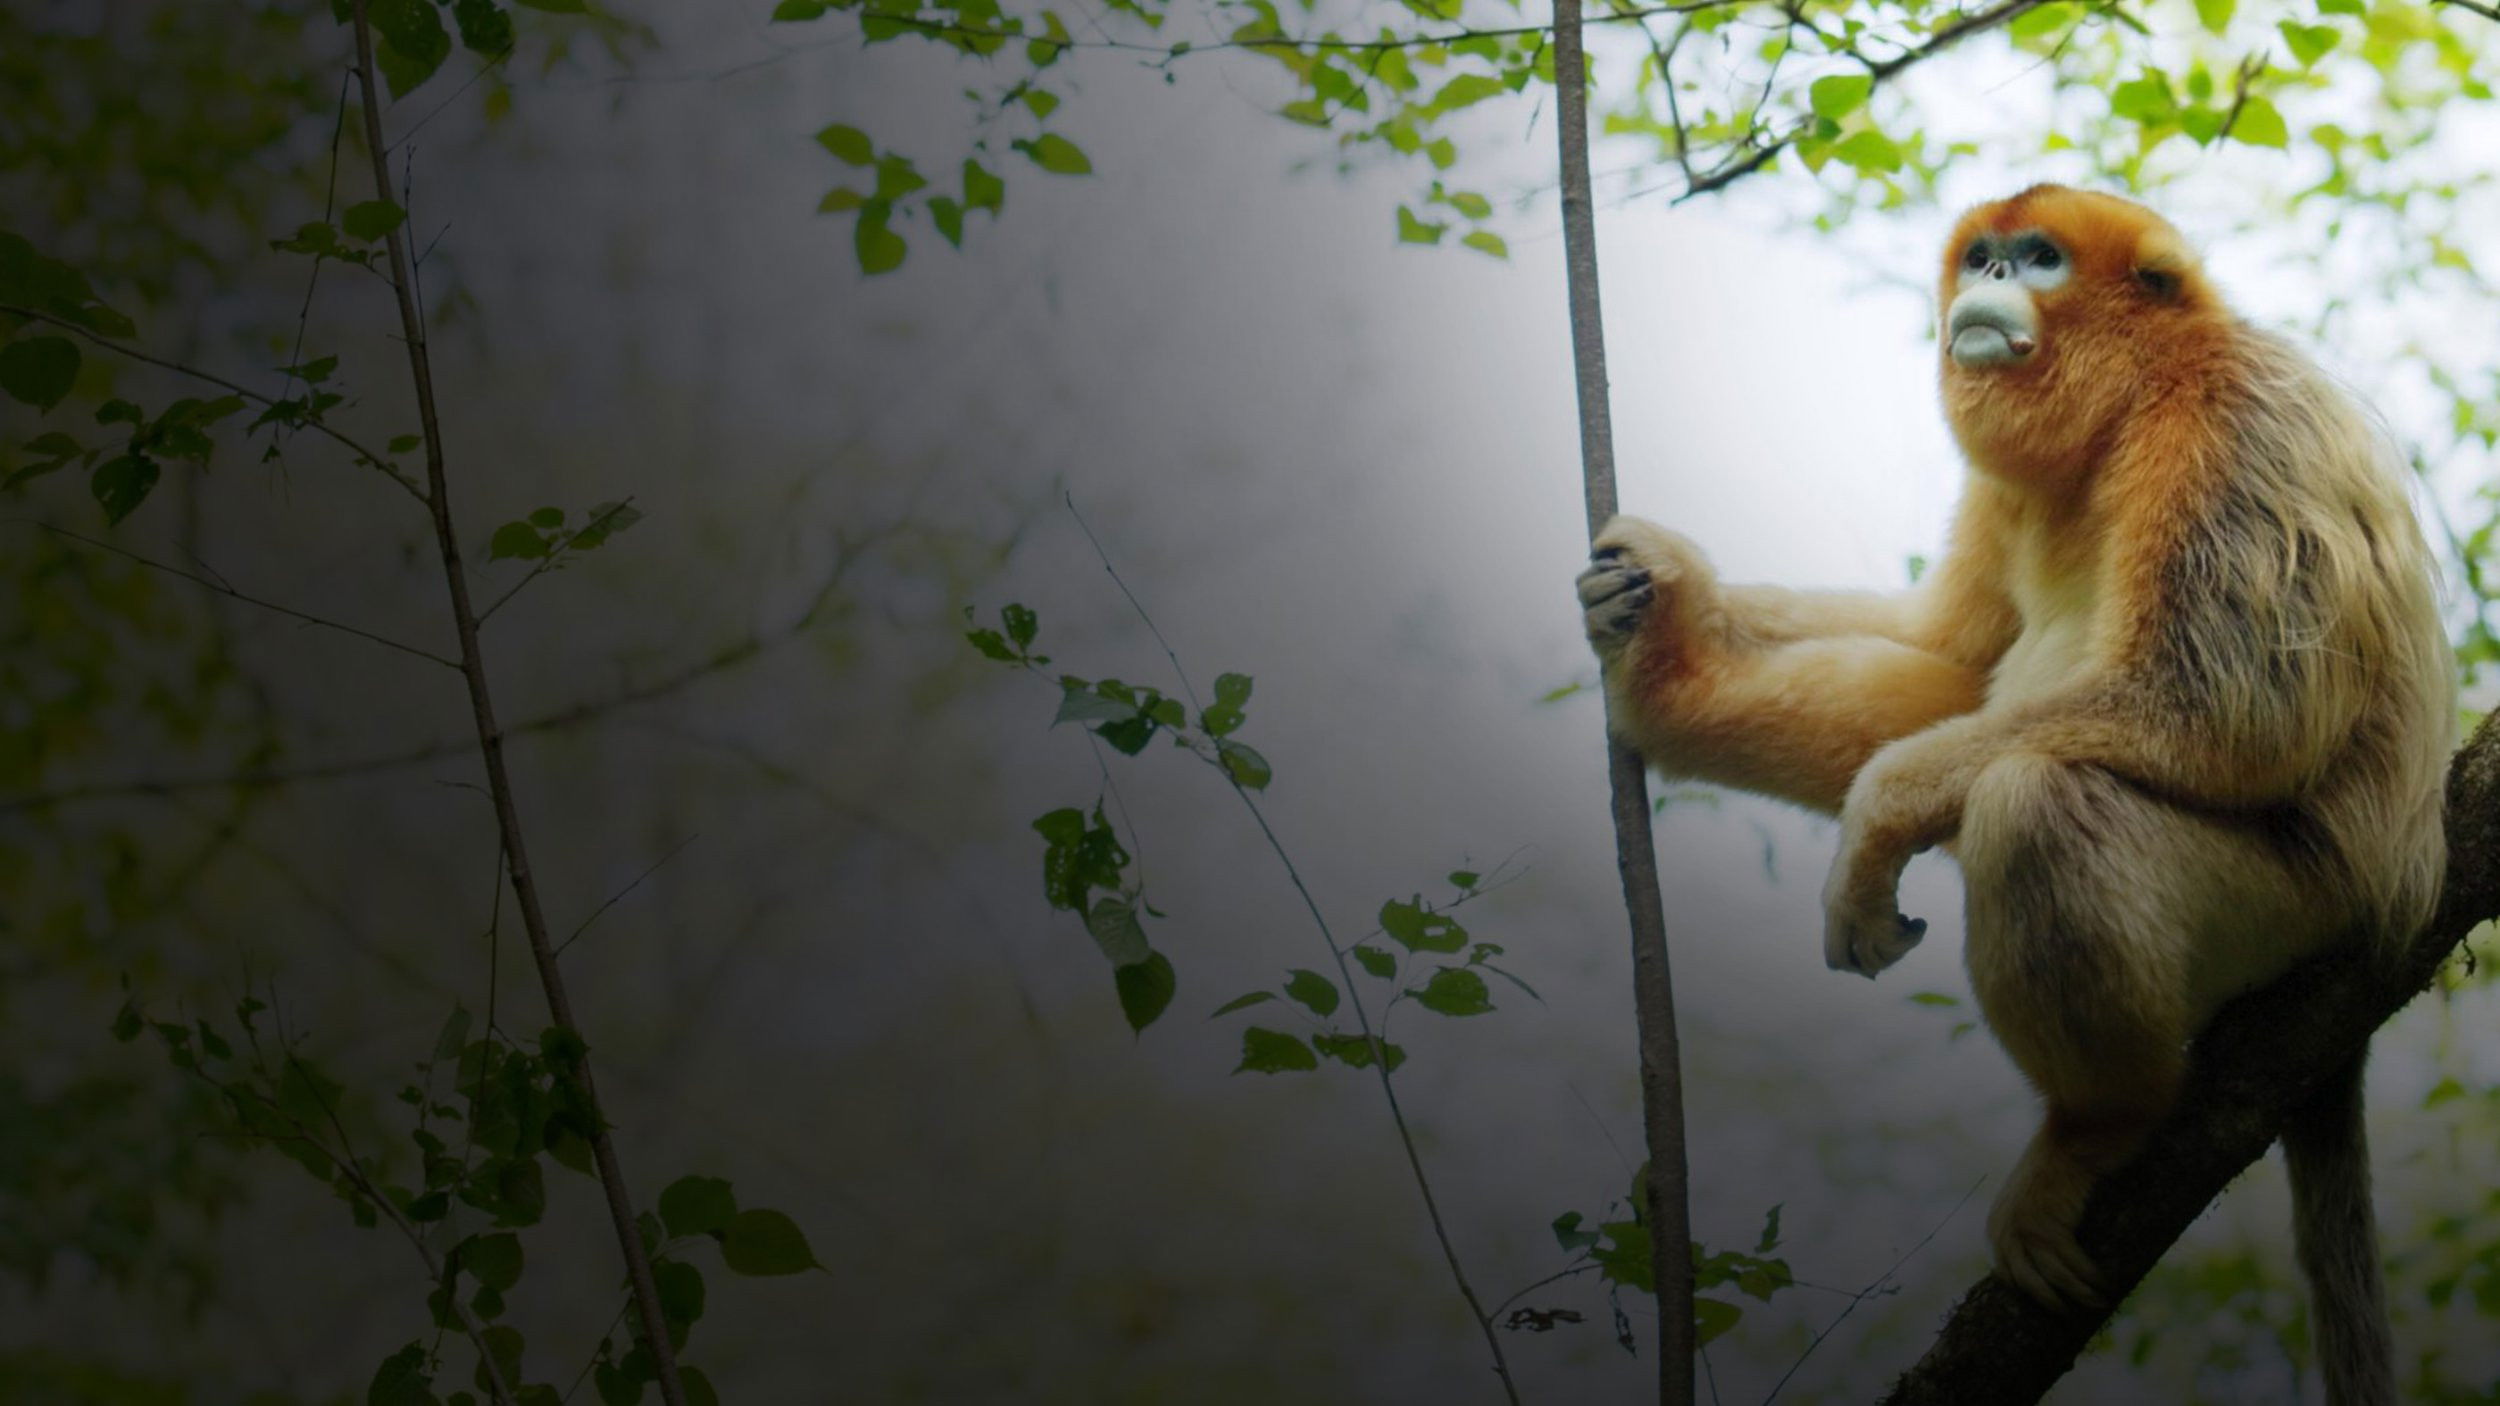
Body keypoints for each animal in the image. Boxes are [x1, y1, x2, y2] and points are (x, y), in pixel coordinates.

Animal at [1575, 185, 2450, 1404]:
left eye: (2037, 260)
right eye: (1984, 257)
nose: (1989, 281)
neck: (2132, 401)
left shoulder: (2232, 419)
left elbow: (2235, 711)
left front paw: (1877, 822)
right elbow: (1945, 658)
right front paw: (1663, 624)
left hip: (2306, 908)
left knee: (2039, 802)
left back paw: (2098, 1125)